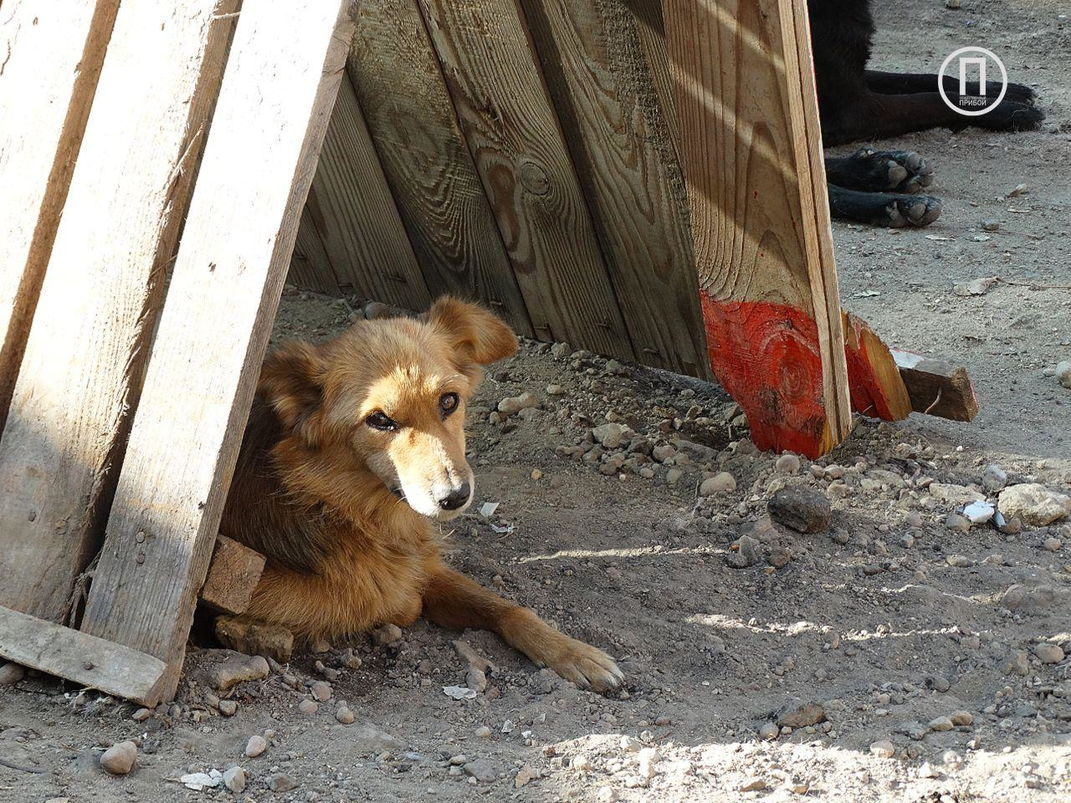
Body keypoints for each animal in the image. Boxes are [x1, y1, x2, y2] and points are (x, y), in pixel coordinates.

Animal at [219, 297, 622, 692]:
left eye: (449, 401)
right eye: (379, 420)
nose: (455, 496)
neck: (336, 509)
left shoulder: (427, 567)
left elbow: (506, 607)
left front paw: (574, 652)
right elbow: (387, 603)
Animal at [810, 0, 1043, 227]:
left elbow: (929, 79)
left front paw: (1002, 90)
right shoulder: (855, 111)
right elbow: (934, 99)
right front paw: (1013, 111)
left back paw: (880, 169)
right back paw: (896, 204)